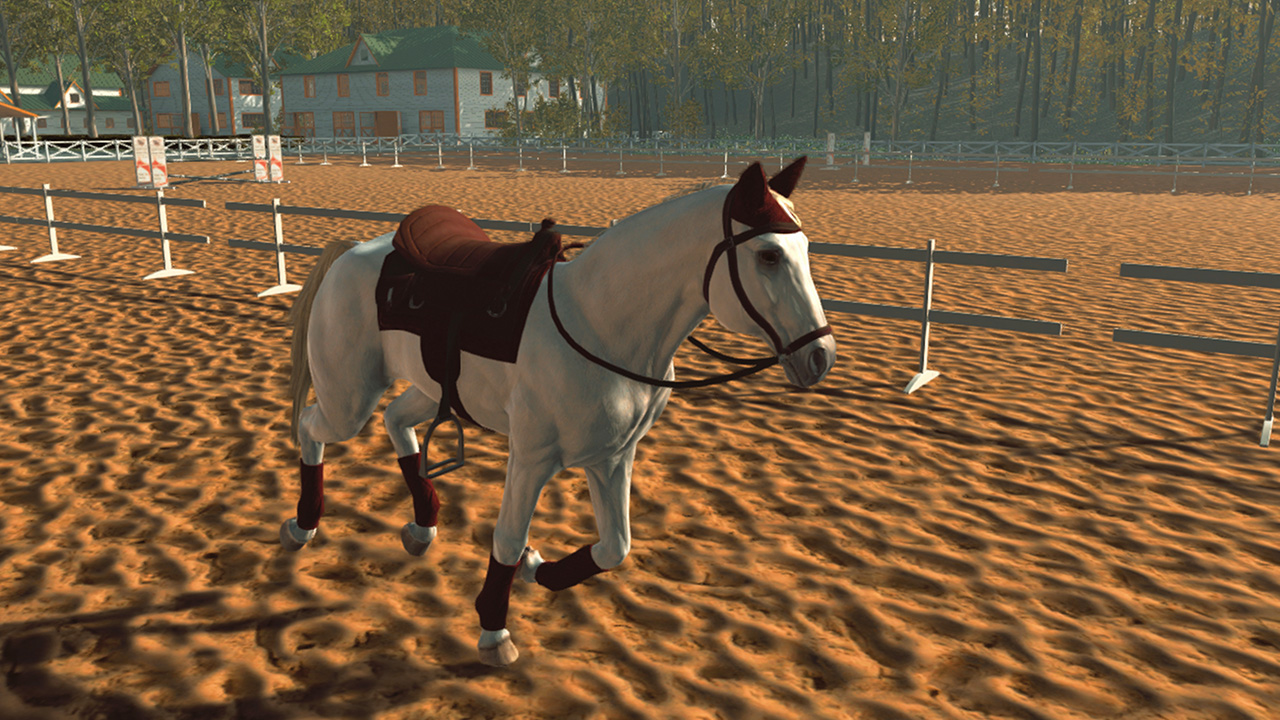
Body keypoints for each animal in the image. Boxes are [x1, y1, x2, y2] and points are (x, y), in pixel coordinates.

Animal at [280, 156, 837, 666]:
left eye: (807, 250)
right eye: (768, 255)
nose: (820, 357)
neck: (598, 324)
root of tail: (353, 251)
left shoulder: (612, 457)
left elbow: (614, 547)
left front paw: (536, 567)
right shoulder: (531, 459)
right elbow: (507, 537)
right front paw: (494, 631)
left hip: (430, 388)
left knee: (396, 419)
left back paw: (421, 527)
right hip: (349, 398)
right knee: (312, 427)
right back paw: (302, 526)